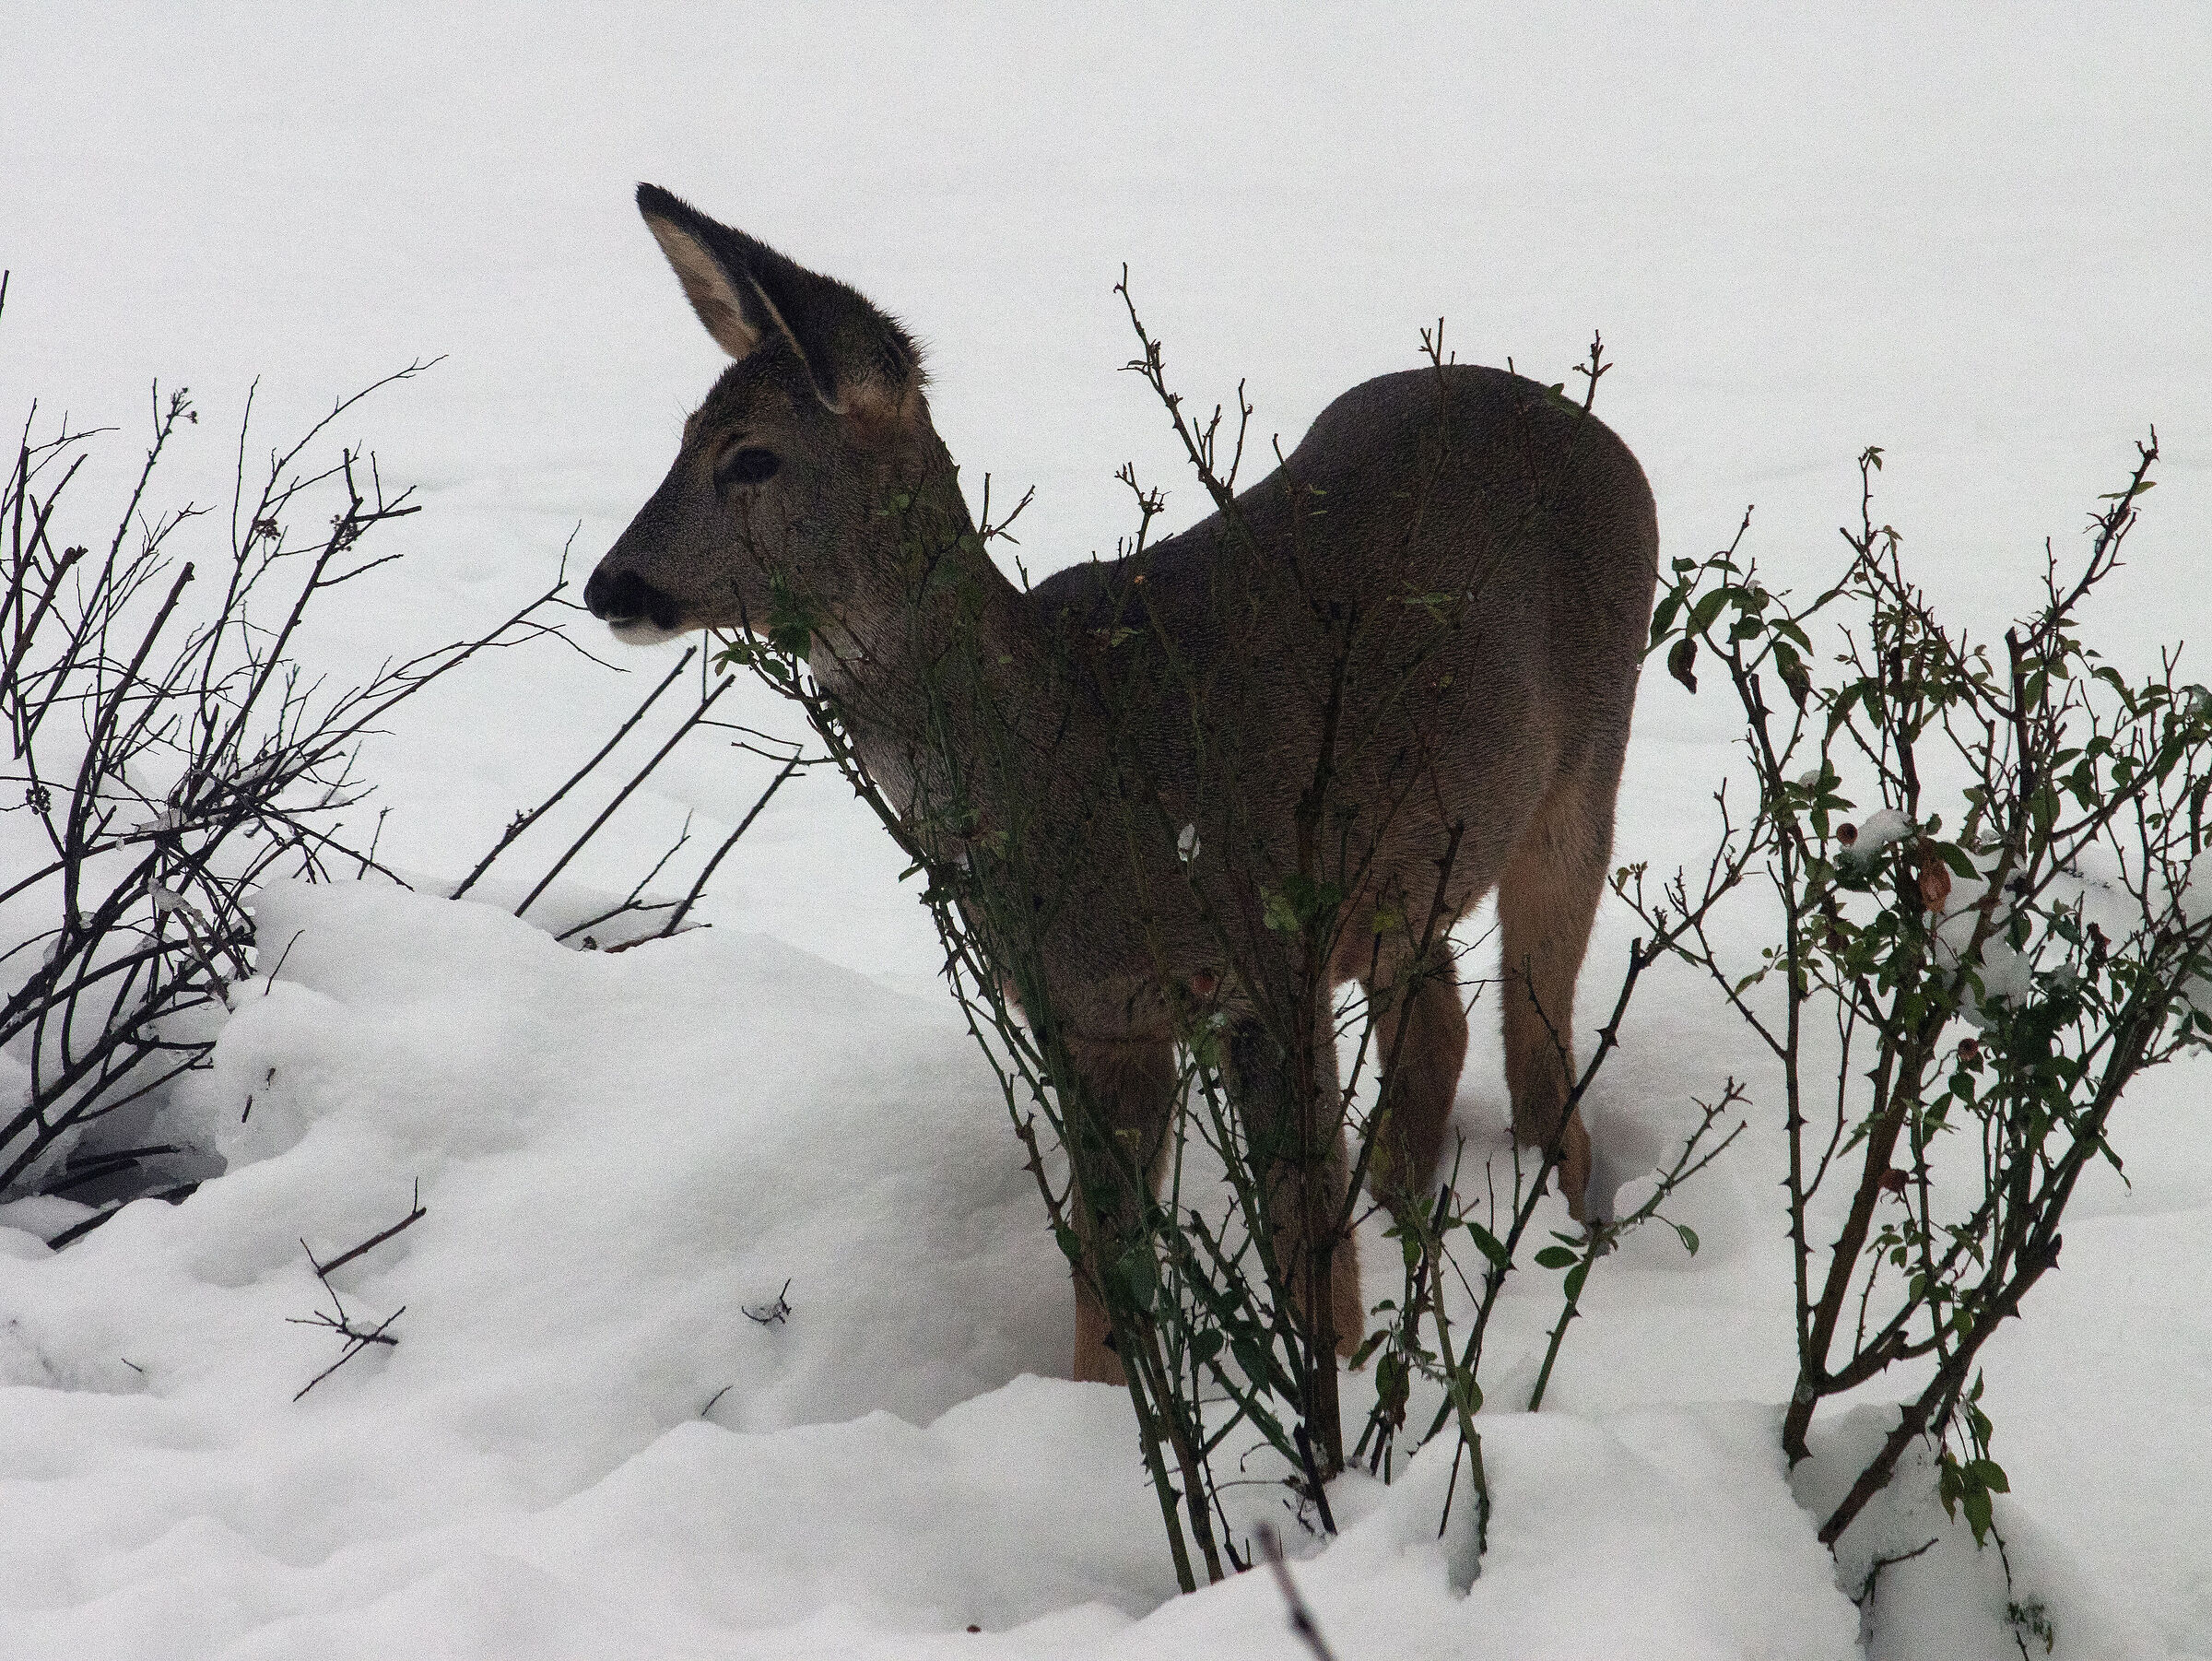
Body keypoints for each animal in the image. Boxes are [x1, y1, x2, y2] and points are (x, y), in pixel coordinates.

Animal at [584, 183, 1659, 1388]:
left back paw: (1556, 1229)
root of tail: (1588, 427)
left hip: (1586, 764)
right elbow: (1107, 1278)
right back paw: (1411, 1217)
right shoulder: (1089, 1018)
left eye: (752, 458)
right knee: (1437, 1017)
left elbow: (1304, 1253)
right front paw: (1097, 1411)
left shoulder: (1264, 960)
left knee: (1540, 1045)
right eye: (683, 437)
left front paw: (1327, 1393)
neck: (1079, 756)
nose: (609, 584)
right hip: (1403, 862)